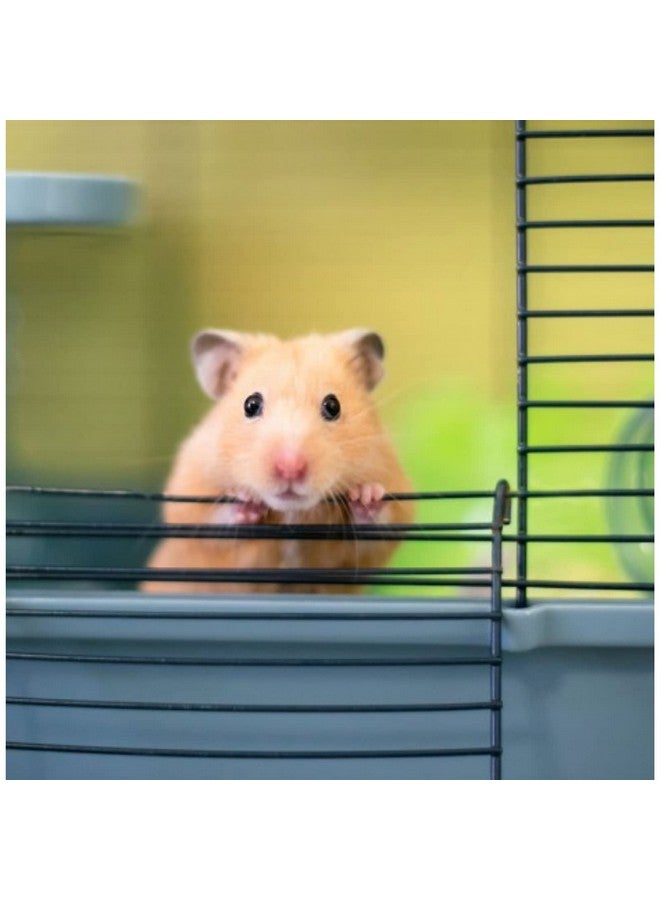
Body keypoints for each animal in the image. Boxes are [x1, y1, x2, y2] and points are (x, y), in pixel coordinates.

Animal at [142, 328, 414, 594]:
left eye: (333, 405)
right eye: (251, 404)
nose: (290, 469)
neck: (291, 512)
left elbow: (379, 523)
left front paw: (366, 494)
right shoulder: (189, 492)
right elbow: (210, 518)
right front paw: (246, 501)